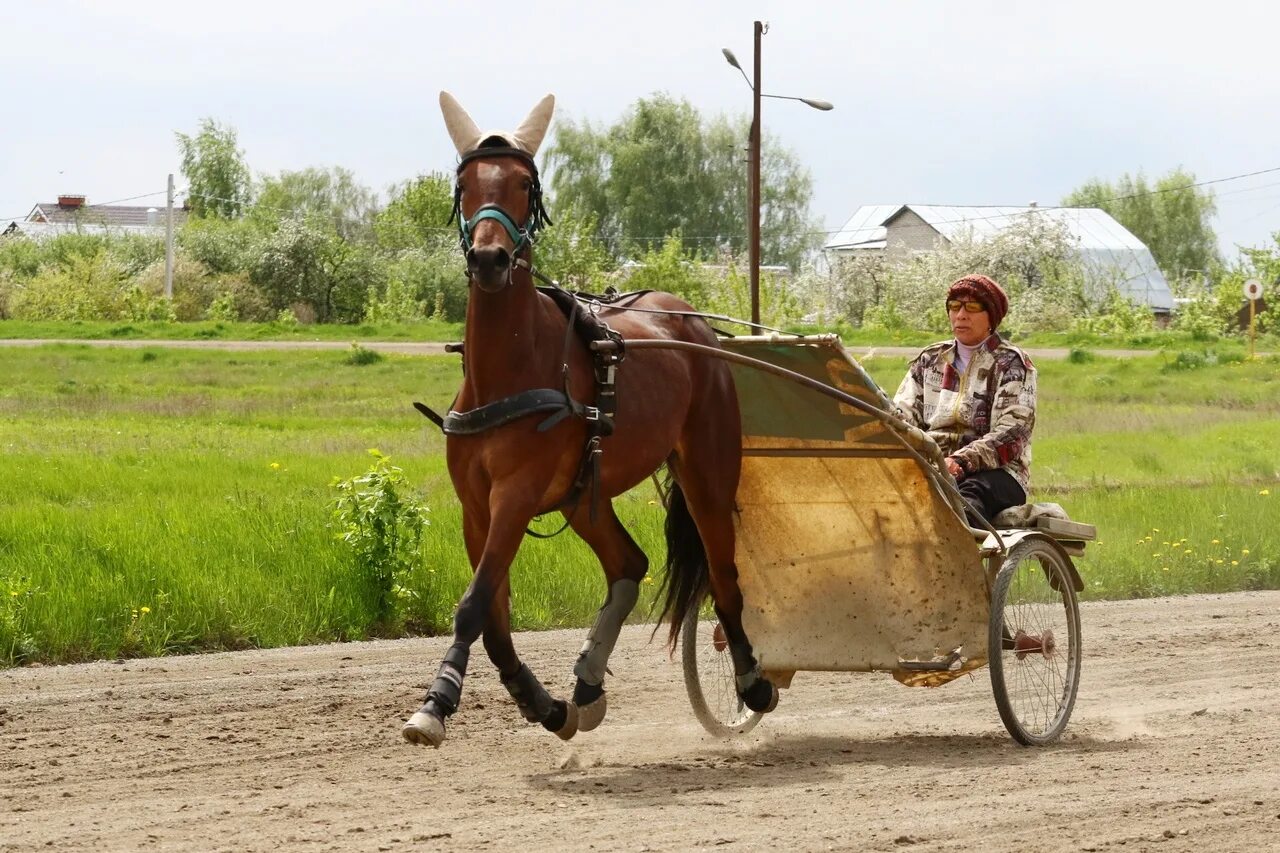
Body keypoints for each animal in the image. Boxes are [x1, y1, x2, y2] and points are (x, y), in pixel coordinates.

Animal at [401, 91, 778, 742]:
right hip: (584, 493)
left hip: (707, 467)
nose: (490, 258)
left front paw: (437, 701)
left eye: (525, 184)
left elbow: (473, 606)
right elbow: (492, 617)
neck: (511, 368)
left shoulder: (517, 494)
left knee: (725, 575)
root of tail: (691, 321)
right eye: (465, 183)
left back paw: (752, 680)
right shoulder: (476, 505)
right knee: (629, 563)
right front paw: (544, 705)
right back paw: (587, 681)